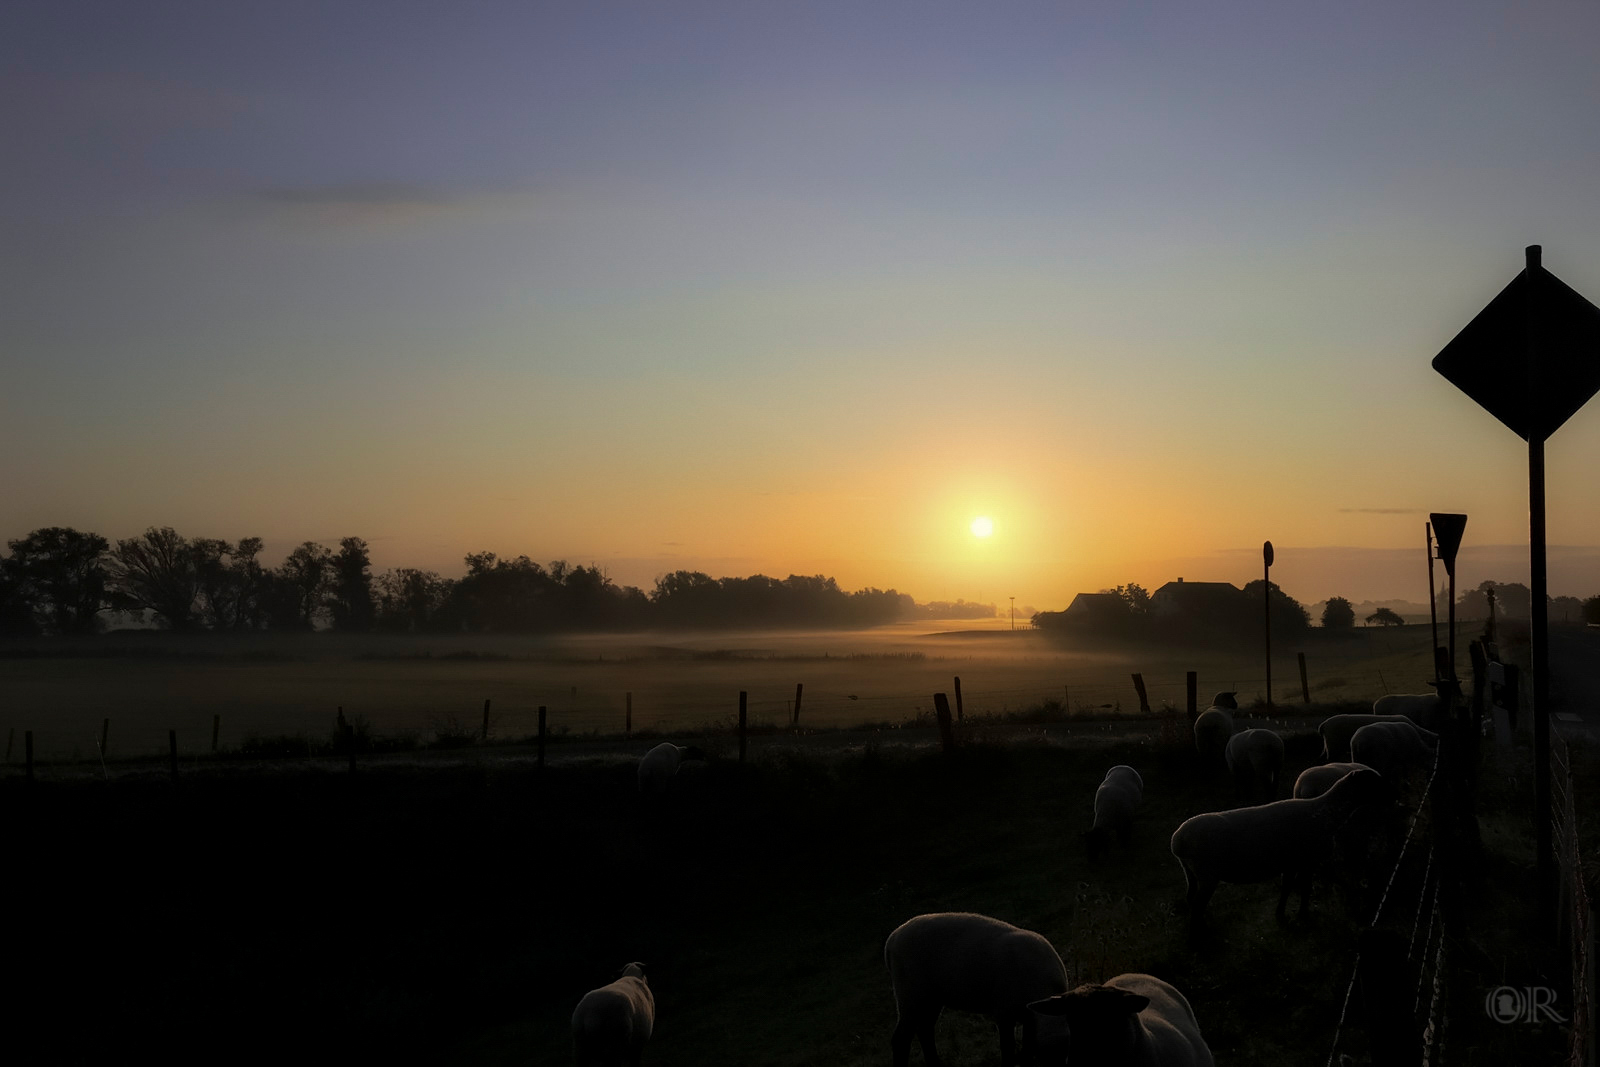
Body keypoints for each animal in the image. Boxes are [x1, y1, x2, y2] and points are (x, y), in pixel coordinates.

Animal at [883, 908, 1068, 1067]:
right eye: (1047, 1055)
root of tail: (892, 939)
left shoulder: (1028, 1018)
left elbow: (1027, 1049)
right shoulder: (1004, 1012)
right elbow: (1008, 1048)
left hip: (931, 998)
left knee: (924, 1030)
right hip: (910, 993)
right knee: (901, 1038)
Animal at [1171, 764, 1395, 927]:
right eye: (1375, 783)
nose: (1393, 799)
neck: (1326, 813)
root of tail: (1178, 839)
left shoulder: (1291, 862)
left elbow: (1287, 887)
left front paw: (1280, 913)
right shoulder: (1308, 860)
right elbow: (1305, 888)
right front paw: (1303, 914)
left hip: (1190, 872)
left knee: (1191, 899)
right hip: (1207, 874)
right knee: (1197, 906)